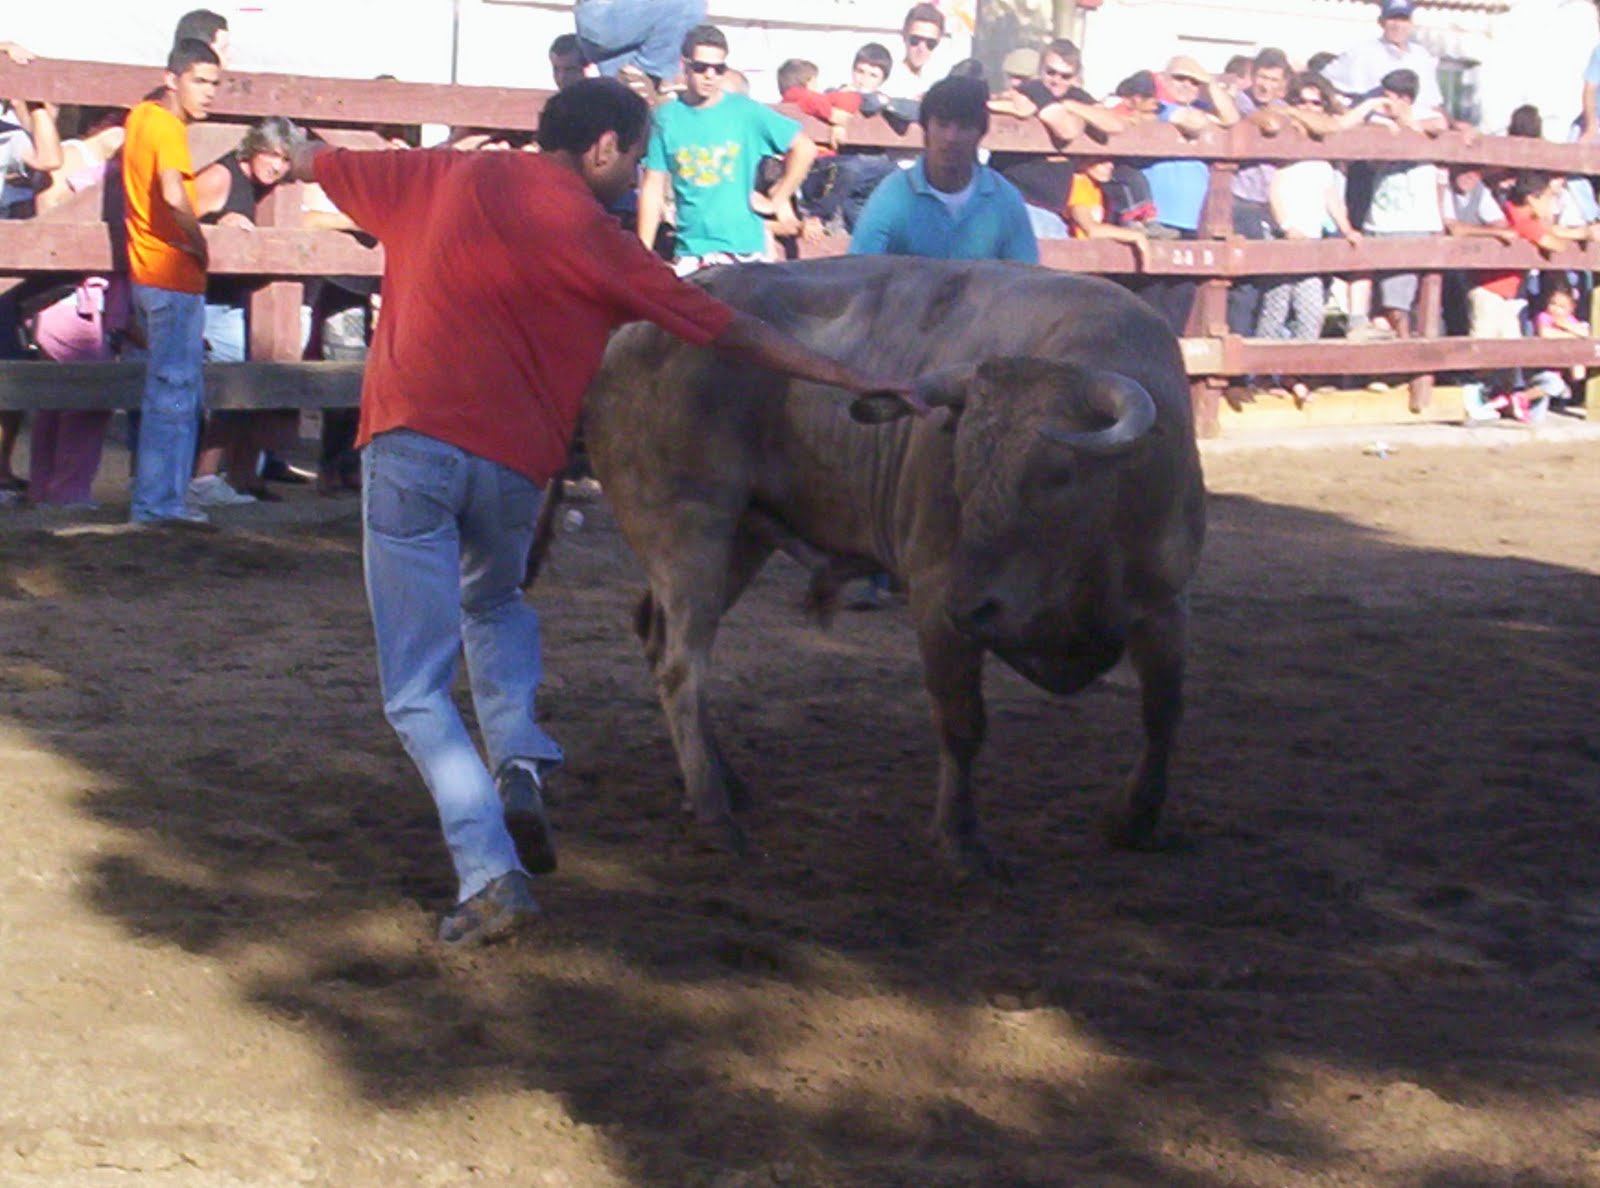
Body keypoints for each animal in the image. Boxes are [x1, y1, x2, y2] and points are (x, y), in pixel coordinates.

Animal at [581, 255, 1205, 878]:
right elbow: (961, 721)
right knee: (682, 667)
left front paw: (1136, 820)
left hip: (742, 540)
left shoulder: (1164, 605)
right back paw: (715, 812)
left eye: (1059, 473)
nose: (974, 604)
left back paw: (725, 783)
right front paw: (960, 840)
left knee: (657, 638)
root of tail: (634, 327)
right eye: (961, 470)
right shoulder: (935, 598)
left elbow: (1164, 709)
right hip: (691, 531)